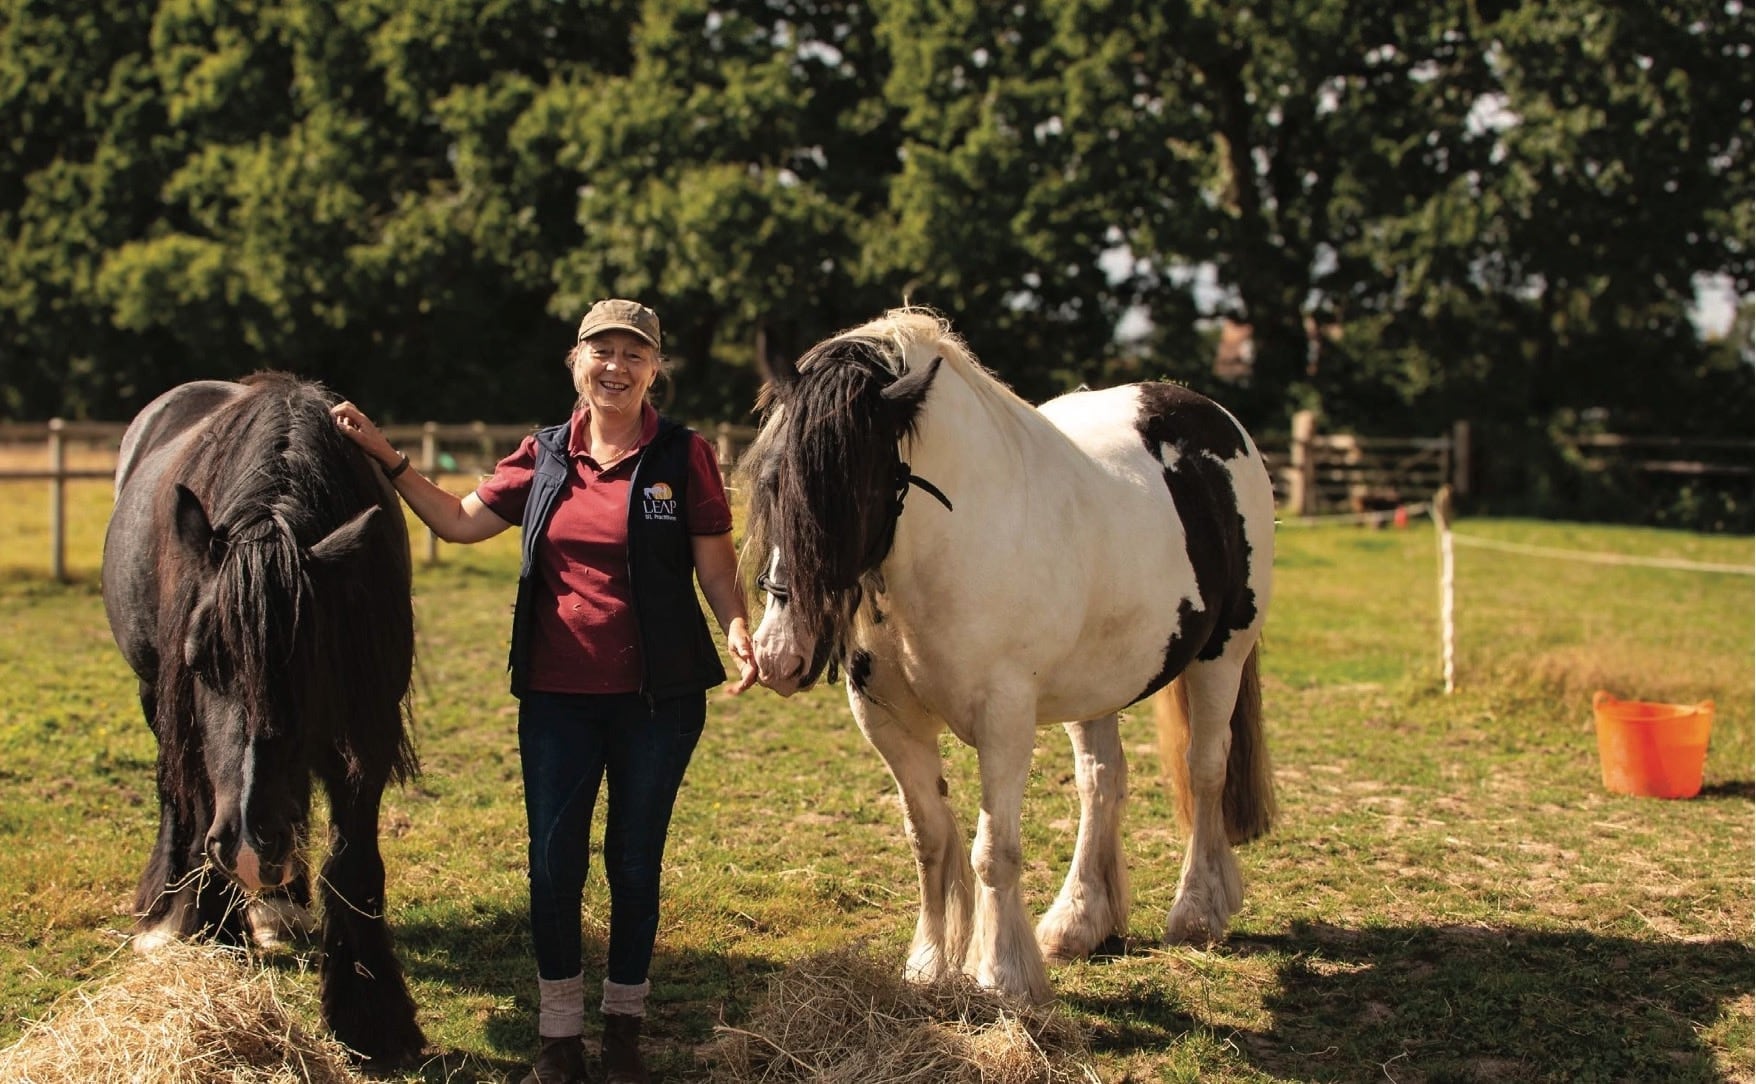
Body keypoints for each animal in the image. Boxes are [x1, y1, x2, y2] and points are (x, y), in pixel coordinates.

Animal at [100, 372, 426, 1064]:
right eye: (201, 660)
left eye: (315, 662)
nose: (250, 845)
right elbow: (197, 805)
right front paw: (211, 927)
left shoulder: (369, 723)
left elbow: (352, 859)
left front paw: (371, 1016)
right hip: (151, 693)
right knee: (174, 795)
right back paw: (167, 905)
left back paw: (278, 903)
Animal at [739, 308, 1277, 1005]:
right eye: (771, 482)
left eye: (849, 493)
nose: (779, 654)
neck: (953, 543)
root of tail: (1210, 415)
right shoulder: (887, 720)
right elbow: (930, 839)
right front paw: (931, 963)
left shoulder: (1006, 721)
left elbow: (993, 850)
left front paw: (1003, 974)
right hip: (1097, 687)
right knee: (1101, 781)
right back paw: (1079, 921)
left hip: (1222, 656)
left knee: (1206, 768)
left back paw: (1199, 910)